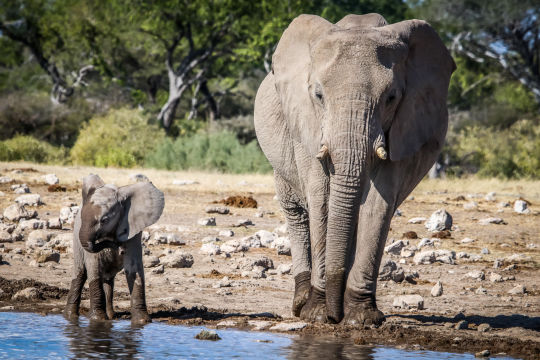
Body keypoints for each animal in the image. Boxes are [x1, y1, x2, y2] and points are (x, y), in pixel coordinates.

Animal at [65, 174, 165, 324]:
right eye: (82, 218)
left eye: (104, 220)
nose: (120, 249)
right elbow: (93, 268)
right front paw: (98, 320)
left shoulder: (132, 230)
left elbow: (134, 269)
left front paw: (142, 322)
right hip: (76, 242)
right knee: (80, 273)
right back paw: (70, 317)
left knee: (108, 279)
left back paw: (111, 316)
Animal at [255, 13, 454, 326]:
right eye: (318, 95)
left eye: (391, 98)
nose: (334, 315)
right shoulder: (308, 122)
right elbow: (322, 199)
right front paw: (317, 314)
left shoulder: (405, 124)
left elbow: (377, 204)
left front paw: (360, 318)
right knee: (297, 211)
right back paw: (301, 303)